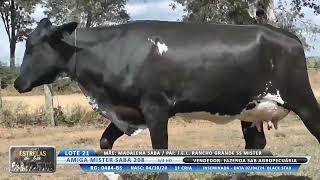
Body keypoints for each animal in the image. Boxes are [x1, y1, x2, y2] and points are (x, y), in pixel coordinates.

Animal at [14, 17, 318, 163]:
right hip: (251, 110)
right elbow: (104, 142)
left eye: (32, 46)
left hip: (302, 99)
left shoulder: (156, 109)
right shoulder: (129, 110)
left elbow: (160, 153)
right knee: (255, 145)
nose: (17, 83)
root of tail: (287, 36)